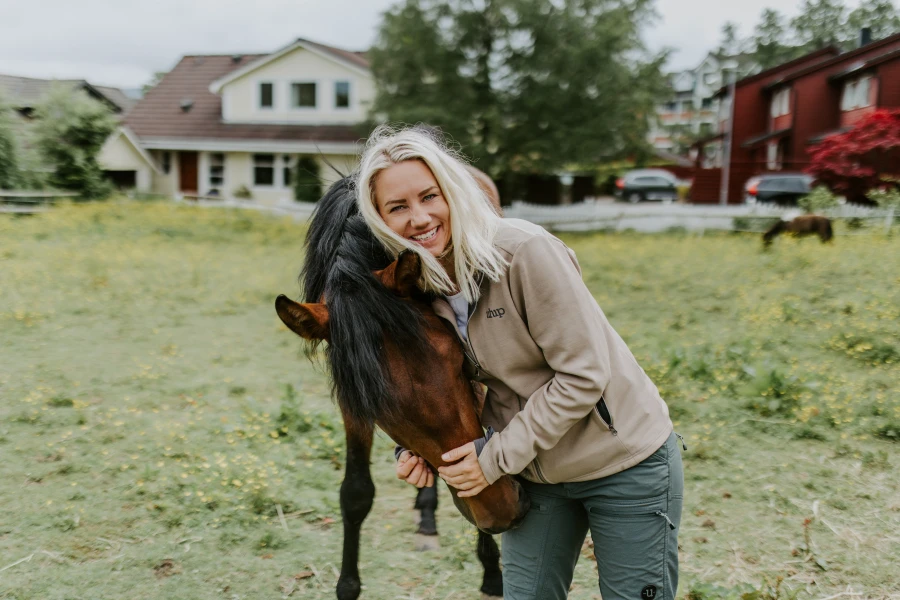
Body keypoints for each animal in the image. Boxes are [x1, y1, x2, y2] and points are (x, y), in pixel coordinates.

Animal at [275, 176, 528, 600]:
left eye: (458, 360)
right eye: (378, 406)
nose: (502, 511)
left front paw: (492, 570)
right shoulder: (352, 403)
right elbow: (356, 493)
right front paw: (347, 586)